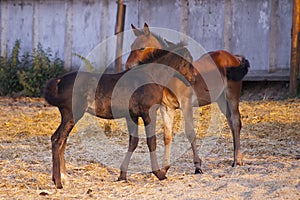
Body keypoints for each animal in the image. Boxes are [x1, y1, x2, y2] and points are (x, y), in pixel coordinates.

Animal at [43, 41, 196, 188]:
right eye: (187, 61)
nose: (194, 78)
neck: (150, 76)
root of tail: (59, 81)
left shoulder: (132, 116)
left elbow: (133, 142)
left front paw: (122, 175)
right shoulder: (148, 113)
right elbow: (151, 142)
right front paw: (159, 174)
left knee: (62, 140)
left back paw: (64, 178)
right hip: (72, 115)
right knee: (57, 139)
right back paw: (59, 182)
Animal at [125, 22, 250, 174]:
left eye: (142, 47)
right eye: (131, 46)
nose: (127, 67)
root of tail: (234, 57)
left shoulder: (186, 104)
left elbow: (190, 132)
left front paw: (198, 166)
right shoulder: (166, 108)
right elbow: (167, 136)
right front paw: (165, 168)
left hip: (232, 95)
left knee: (236, 121)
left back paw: (238, 160)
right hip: (221, 99)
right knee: (231, 122)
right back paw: (235, 158)